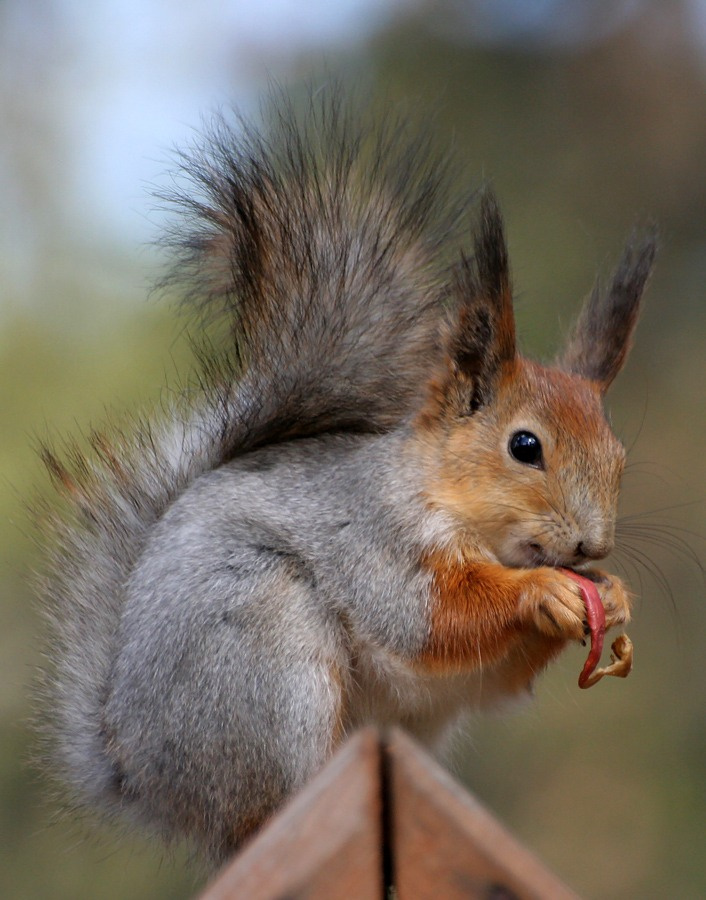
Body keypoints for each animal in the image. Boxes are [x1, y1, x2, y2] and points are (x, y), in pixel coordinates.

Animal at [35, 90, 656, 866]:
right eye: (524, 446)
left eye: (619, 457)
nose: (591, 548)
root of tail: (142, 773)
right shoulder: (372, 538)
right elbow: (426, 616)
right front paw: (541, 591)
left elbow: (490, 674)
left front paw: (613, 595)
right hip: (267, 666)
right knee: (263, 810)